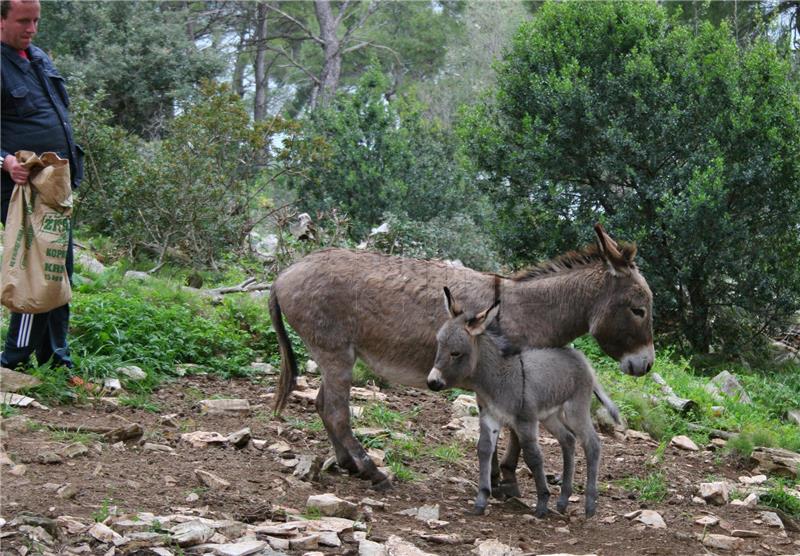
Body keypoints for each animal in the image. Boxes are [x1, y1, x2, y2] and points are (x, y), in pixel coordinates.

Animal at [432, 288, 620, 520]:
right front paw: (481, 500)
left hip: (576, 409)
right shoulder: (490, 416)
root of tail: (582, 358)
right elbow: (484, 449)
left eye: (455, 353)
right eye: (439, 346)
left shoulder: (525, 421)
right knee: (568, 440)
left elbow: (533, 456)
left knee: (592, 444)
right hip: (550, 416)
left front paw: (542, 503)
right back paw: (563, 500)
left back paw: (590, 505)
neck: (498, 379)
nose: (432, 382)